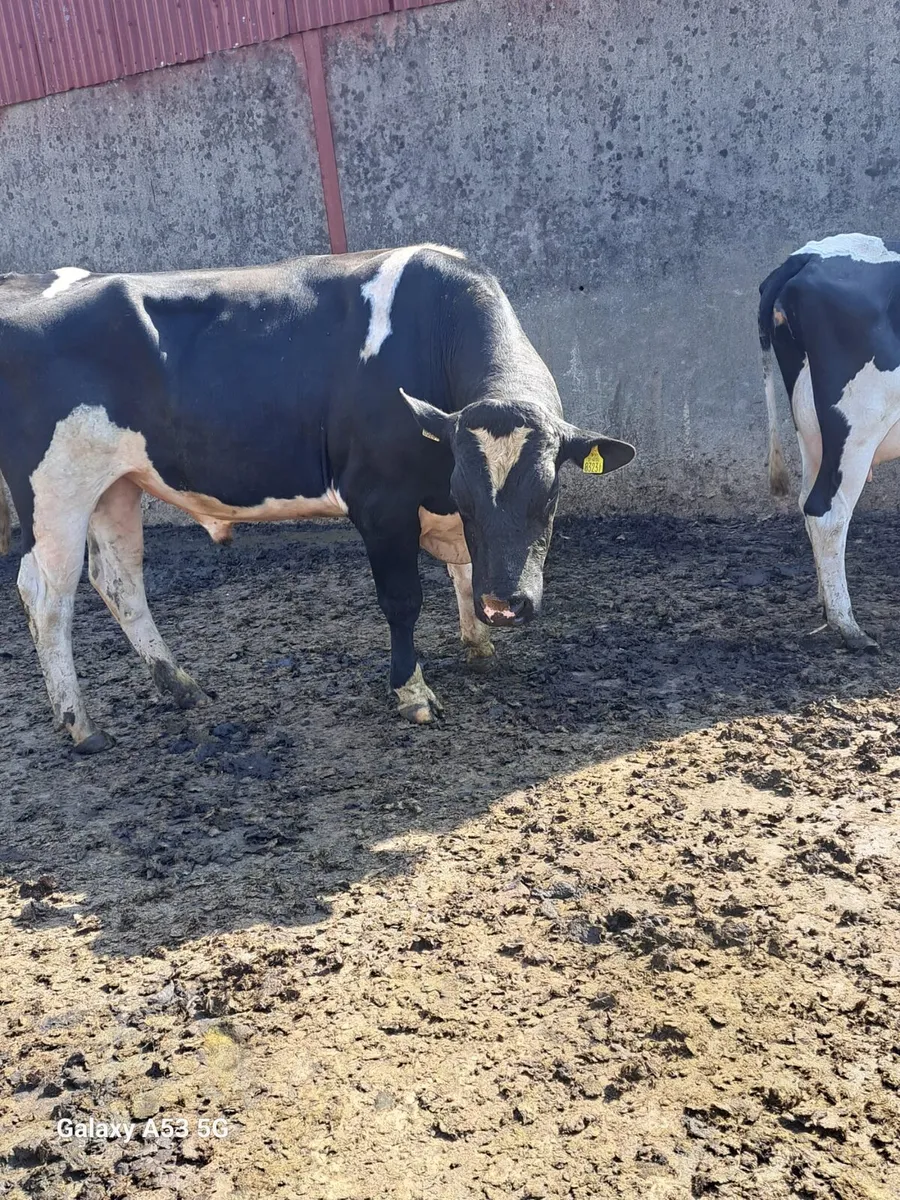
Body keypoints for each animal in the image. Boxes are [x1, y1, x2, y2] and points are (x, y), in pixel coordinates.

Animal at [0, 245, 635, 752]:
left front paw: (479, 644)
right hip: (53, 491)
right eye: (465, 492)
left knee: (119, 581)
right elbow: (402, 601)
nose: (504, 605)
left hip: (116, 484)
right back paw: (81, 726)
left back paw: (180, 686)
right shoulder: (381, 502)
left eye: (550, 494)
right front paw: (412, 691)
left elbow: (461, 572)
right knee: (46, 596)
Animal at [760, 232, 900, 650]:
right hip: (858, 423)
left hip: (811, 427)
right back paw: (847, 626)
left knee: (808, 501)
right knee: (826, 510)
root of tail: (807, 255)